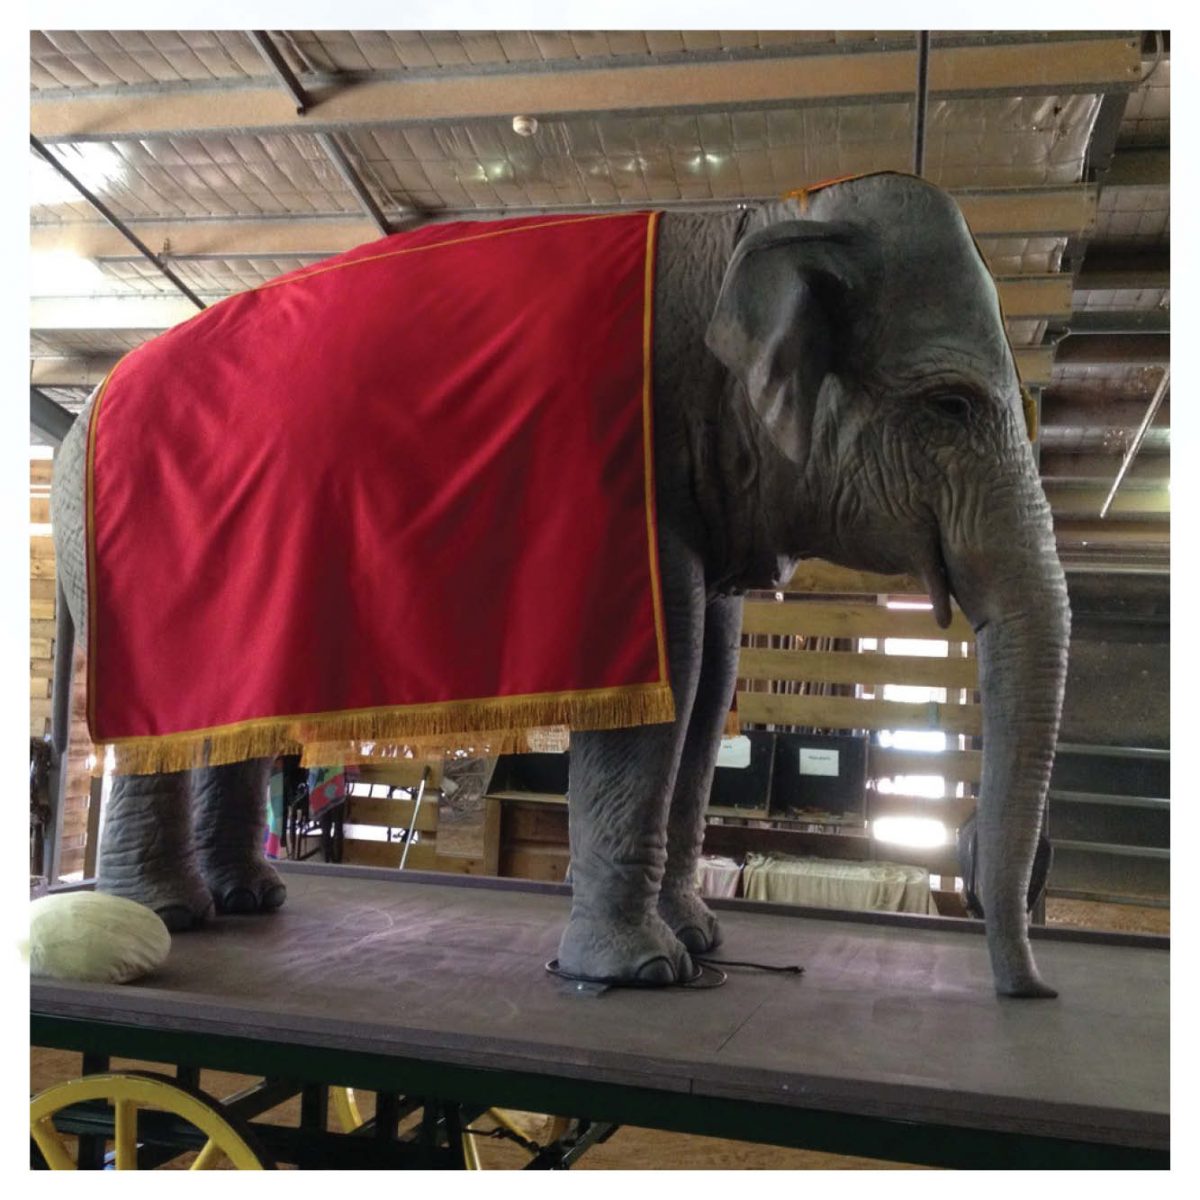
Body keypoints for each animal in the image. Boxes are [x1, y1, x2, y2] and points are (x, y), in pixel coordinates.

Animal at [49, 172, 1069, 998]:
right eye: (950, 405)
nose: (1034, 991)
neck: (756, 221)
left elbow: (714, 685)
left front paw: (701, 941)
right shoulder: (621, 478)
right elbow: (675, 670)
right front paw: (646, 972)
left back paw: (249, 899)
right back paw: (169, 918)